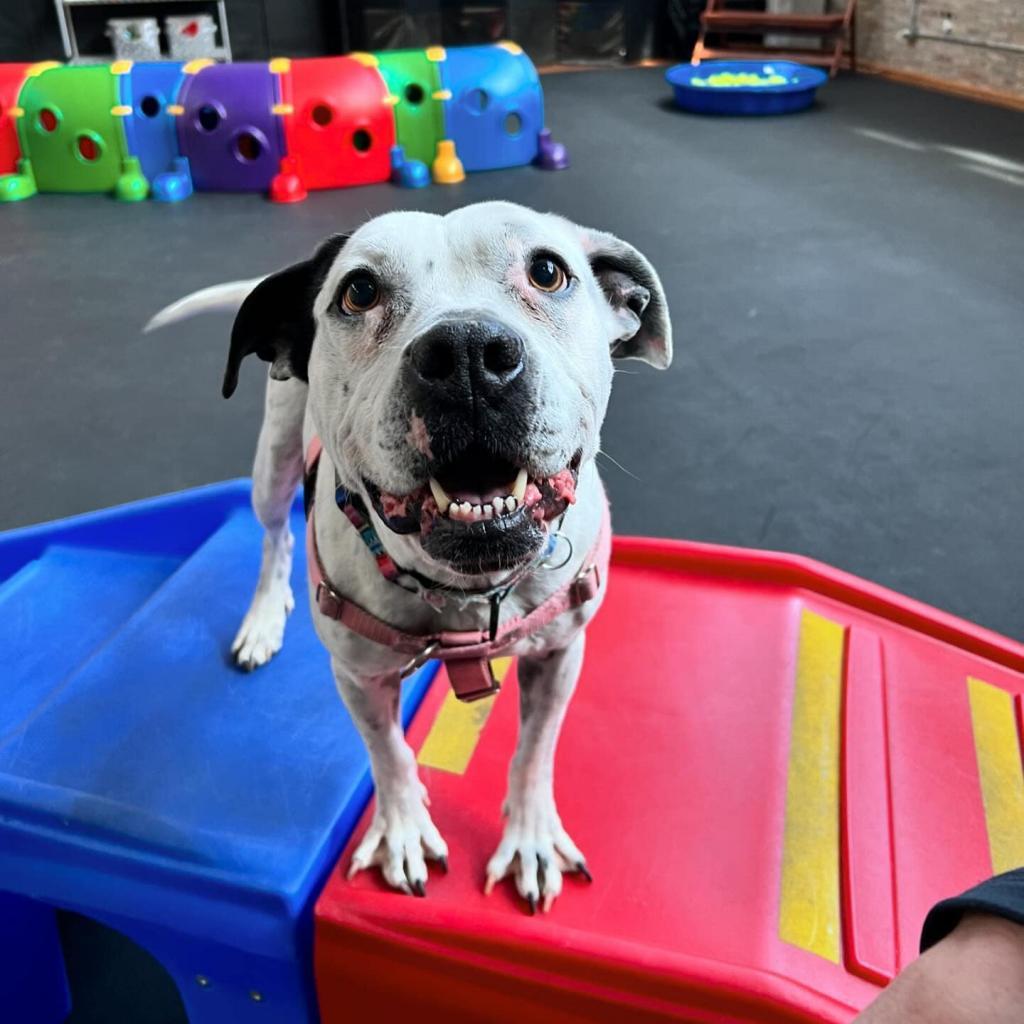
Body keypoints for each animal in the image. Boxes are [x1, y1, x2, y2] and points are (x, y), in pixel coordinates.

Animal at [148, 201, 667, 913]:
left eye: (547, 271)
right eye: (359, 291)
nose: (468, 352)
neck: (467, 590)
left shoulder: (560, 653)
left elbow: (535, 750)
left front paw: (530, 836)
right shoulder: (359, 676)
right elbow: (387, 753)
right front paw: (401, 829)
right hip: (274, 461)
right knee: (274, 537)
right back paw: (263, 617)